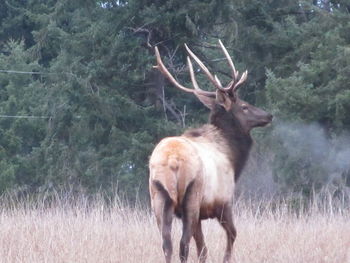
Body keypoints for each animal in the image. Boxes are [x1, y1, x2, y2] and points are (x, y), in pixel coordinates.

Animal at [149, 39, 272, 263]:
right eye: (244, 106)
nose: (269, 115)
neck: (232, 155)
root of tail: (173, 160)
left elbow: (203, 248)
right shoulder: (223, 201)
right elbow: (231, 235)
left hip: (159, 196)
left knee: (166, 243)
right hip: (192, 196)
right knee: (183, 243)